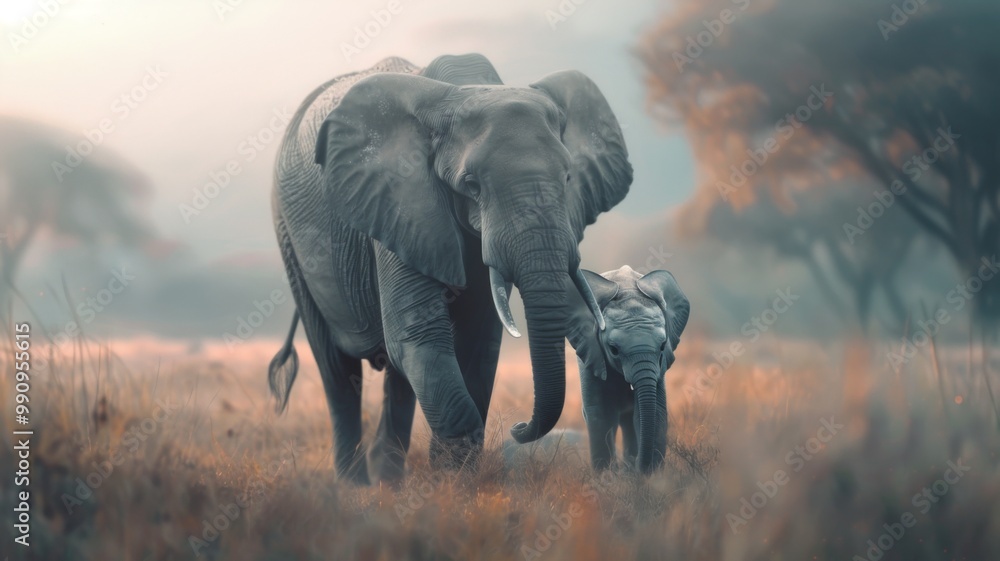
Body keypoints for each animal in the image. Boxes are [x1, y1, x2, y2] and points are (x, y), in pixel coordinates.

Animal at [267, 53, 632, 484]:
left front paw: (453, 482)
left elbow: (479, 341)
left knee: (397, 377)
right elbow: (418, 334)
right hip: (289, 239)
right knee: (338, 370)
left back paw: (388, 484)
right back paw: (354, 488)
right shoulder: (400, 197)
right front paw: (451, 484)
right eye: (471, 184)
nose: (518, 428)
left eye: (569, 177)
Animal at [565, 265, 690, 473]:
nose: (638, 465)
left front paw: (650, 476)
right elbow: (601, 413)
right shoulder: (592, 354)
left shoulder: (659, 367)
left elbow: (653, 411)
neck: (628, 291)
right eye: (613, 349)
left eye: (663, 346)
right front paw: (606, 476)